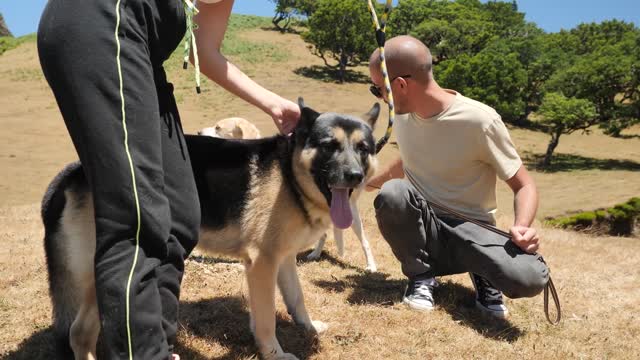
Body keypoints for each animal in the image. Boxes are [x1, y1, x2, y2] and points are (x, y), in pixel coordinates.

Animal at [40, 99, 378, 360]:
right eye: (329, 146)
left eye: (363, 148)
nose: (355, 176)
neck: (290, 174)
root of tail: (74, 170)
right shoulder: (262, 263)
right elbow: (267, 318)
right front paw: (274, 353)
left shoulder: (282, 259)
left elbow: (296, 299)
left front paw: (307, 327)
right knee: (79, 333)